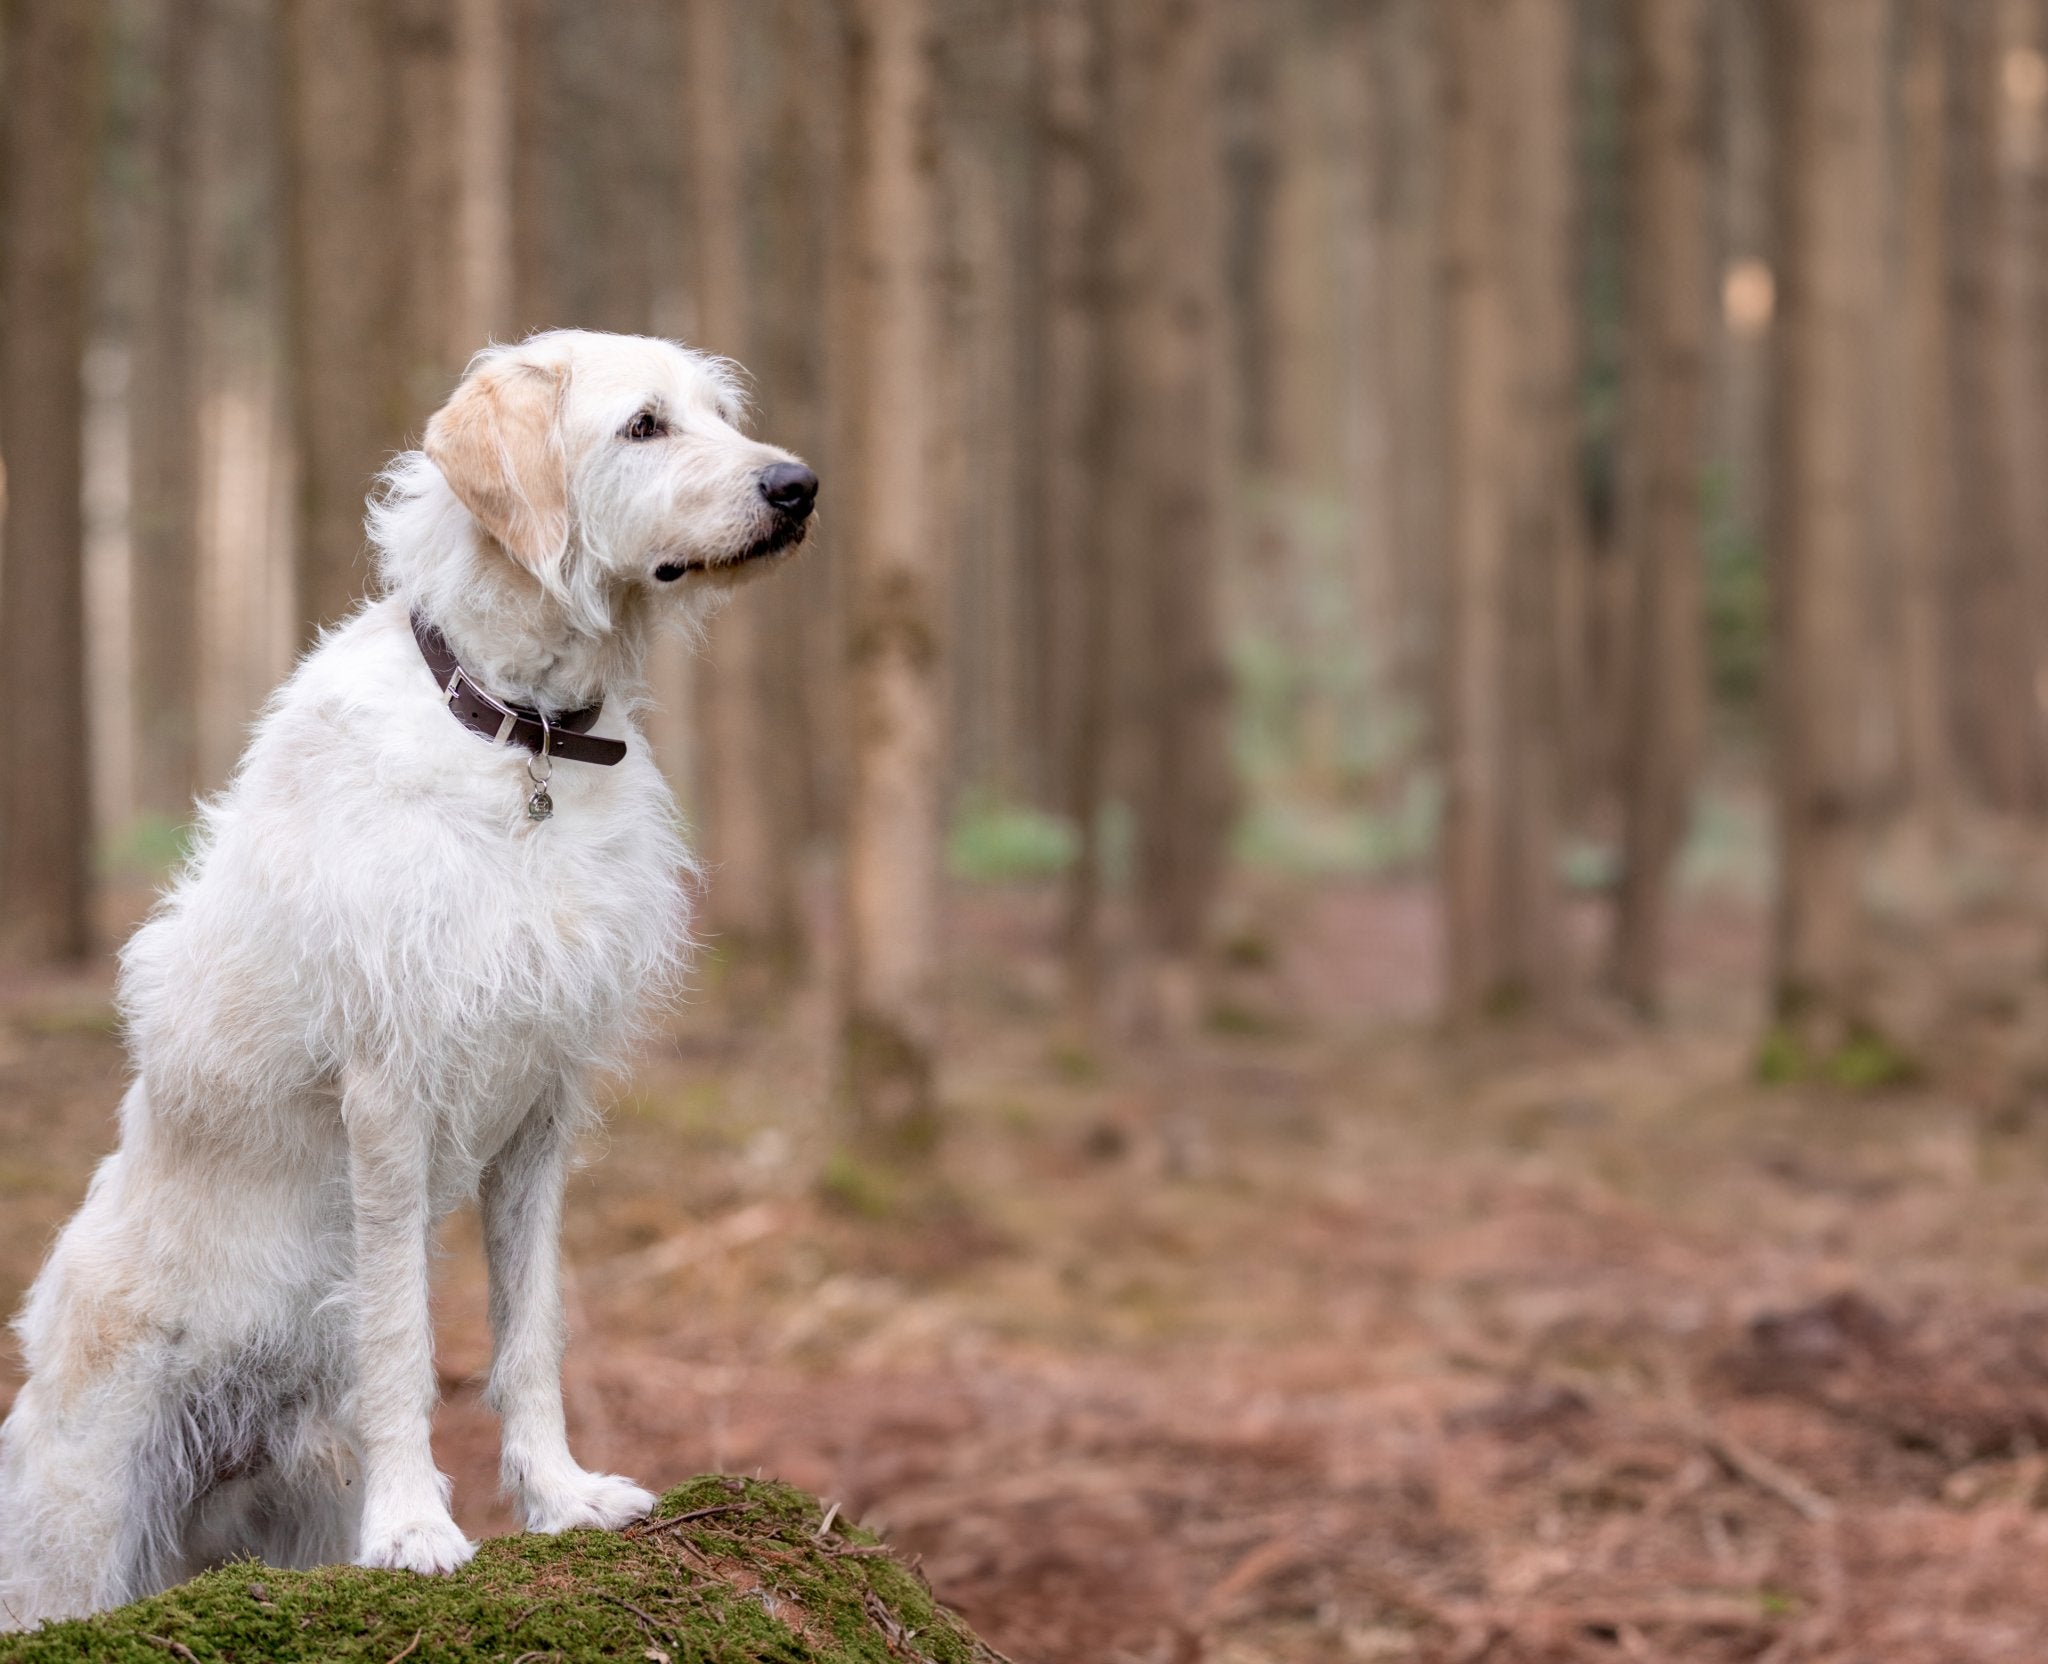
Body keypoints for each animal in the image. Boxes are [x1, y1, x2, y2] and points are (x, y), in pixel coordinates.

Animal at [0, 327, 815, 1623]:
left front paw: (558, 1495)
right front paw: (415, 1525)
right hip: (79, 1532)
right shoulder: (388, 1094)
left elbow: (529, 1327)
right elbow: (399, 1334)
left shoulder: (543, 1105)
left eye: (719, 416)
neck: (523, 739)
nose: (799, 486)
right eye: (643, 425)